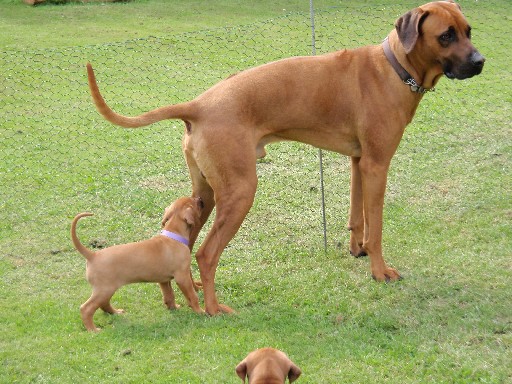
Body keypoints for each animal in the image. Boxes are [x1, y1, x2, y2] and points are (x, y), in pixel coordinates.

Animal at [70, 196, 206, 332]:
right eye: (194, 202)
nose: (199, 198)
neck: (174, 235)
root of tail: (92, 255)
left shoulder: (163, 280)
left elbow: (169, 295)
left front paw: (173, 308)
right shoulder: (182, 277)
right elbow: (193, 296)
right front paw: (200, 311)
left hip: (106, 289)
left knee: (104, 304)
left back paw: (115, 312)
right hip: (104, 289)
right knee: (86, 308)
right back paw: (93, 329)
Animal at [85, 0, 484, 316]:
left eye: (468, 30)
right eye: (446, 36)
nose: (481, 62)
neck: (394, 68)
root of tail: (198, 104)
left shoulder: (359, 163)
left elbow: (358, 218)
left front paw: (357, 250)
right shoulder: (377, 165)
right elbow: (378, 227)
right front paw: (380, 271)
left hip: (205, 195)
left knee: (187, 241)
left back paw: (191, 292)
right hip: (241, 191)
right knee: (207, 253)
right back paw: (213, 308)